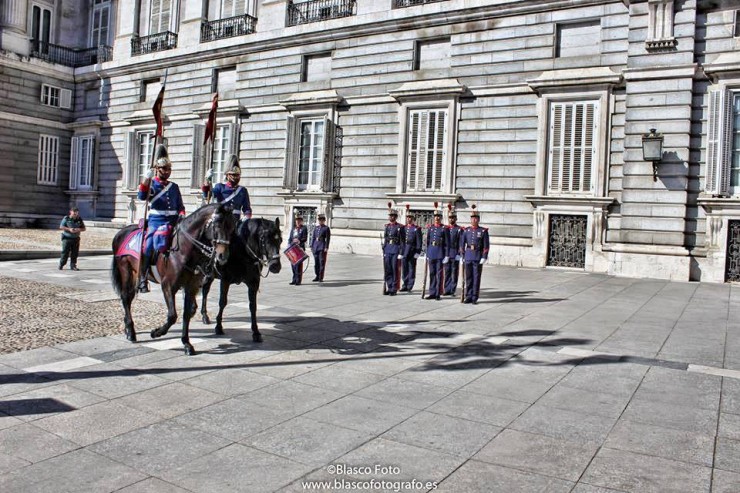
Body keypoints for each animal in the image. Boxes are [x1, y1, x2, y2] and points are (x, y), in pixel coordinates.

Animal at [110, 203, 237, 354]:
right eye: (218, 225)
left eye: (232, 227)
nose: (223, 256)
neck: (183, 251)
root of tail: (121, 232)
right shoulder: (168, 286)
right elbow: (172, 315)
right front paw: (156, 332)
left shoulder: (191, 287)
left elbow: (187, 314)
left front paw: (186, 343)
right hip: (126, 271)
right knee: (125, 297)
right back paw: (131, 331)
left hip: (135, 273)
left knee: (128, 298)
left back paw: (127, 327)